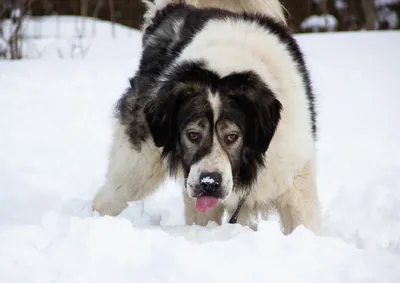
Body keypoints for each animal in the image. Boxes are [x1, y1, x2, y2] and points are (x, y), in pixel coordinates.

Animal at [92, 0, 320, 235]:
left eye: (232, 136)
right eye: (192, 134)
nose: (209, 182)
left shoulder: (294, 174)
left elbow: (303, 221)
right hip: (138, 162)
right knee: (109, 198)